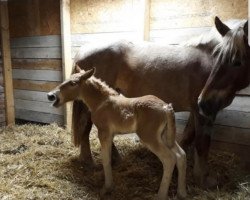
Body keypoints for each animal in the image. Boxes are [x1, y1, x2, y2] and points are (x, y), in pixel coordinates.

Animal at [47, 66, 187, 199]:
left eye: (73, 83)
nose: (51, 95)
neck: (101, 102)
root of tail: (166, 107)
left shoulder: (104, 132)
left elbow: (106, 159)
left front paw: (107, 188)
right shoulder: (111, 134)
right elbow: (109, 156)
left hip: (149, 137)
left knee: (169, 159)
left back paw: (160, 196)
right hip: (165, 136)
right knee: (181, 155)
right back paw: (181, 193)